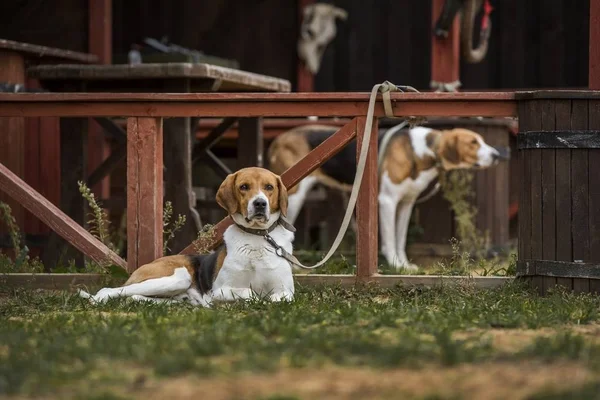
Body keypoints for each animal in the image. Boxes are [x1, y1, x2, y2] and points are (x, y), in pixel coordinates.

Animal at [79, 168, 296, 306]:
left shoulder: (286, 291)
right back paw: (98, 299)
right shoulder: (220, 290)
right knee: (110, 290)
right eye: (244, 187)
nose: (260, 204)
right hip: (176, 277)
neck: (256, 237)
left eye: (269, 187)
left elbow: (277, 298)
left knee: (135, 297)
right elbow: (250, 292)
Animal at [268, 123, 502, 270]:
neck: (420, 151)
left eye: (481, 141)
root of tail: (278, 139)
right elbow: (389, 239)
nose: (498, 155)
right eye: (473, 142)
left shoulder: (406, 204)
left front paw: (405, 265)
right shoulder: (388, 202)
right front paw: (395, 264)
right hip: (293, 196)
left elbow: (400, 238)